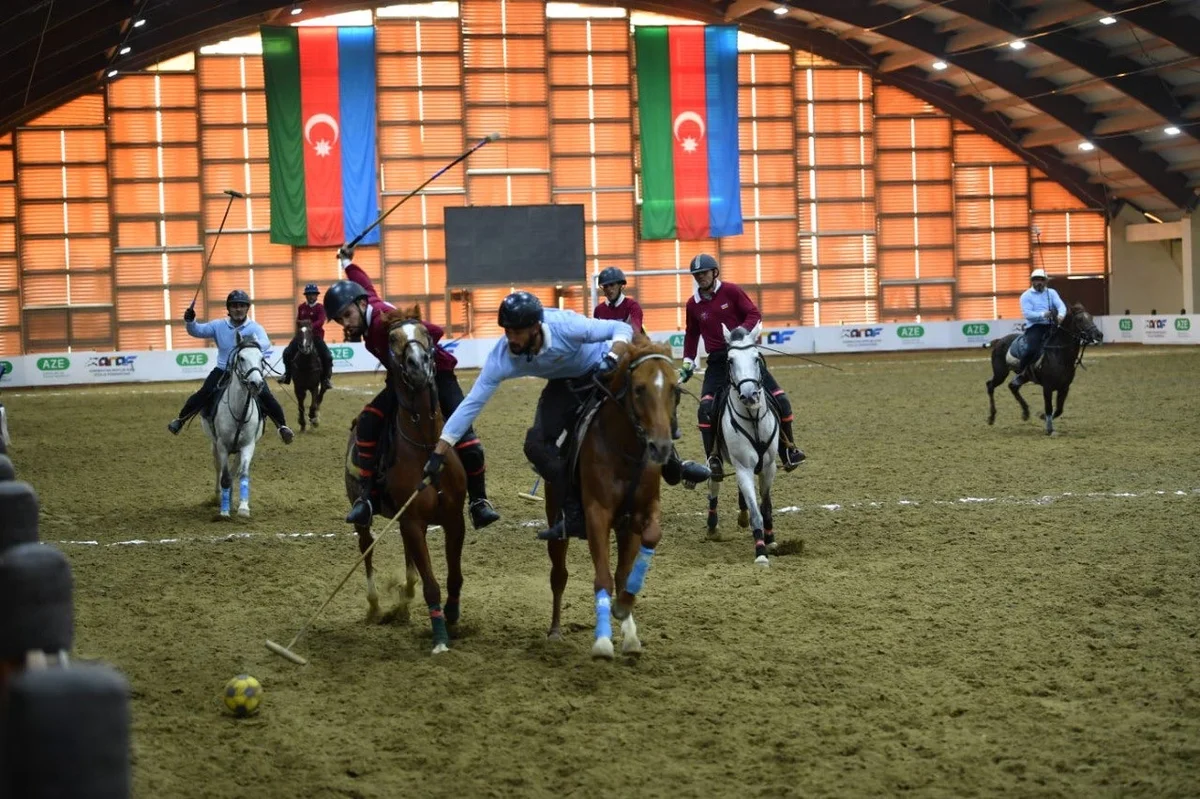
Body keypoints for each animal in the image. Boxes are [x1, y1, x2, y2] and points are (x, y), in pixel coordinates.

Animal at [200, 333, 266, 515]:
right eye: (241, 358)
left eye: (262, 358)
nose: (257, 384)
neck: (239, 412)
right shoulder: (222, 445)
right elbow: (224, 477)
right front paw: (224, 511)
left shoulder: (248, 445)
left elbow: (242, 474)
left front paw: (243, 507)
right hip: (214, 445)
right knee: (219, 469)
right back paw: (218, 497)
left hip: (237, 451)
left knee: (234, 471)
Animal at [343, 302, 468, 652]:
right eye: (392, 339)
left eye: (425, 332)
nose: (417, 365)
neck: (427, 444)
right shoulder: (412, 520)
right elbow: (432, 585)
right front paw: (440, 638)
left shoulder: (453, 518)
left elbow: (453, 576)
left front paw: (452, 615)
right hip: (365, 516)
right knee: (367, 548)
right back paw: (375, 607)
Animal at [547, 333, 681, 657]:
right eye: (639, 389)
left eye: (675, 388)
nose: (661, 447)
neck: (625, 450)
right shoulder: (597, 514)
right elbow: (603, 577)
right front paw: (603, 641)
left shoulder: (642, 512)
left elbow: (645, 546)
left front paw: (625, 613)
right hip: (556, 521)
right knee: (559, 575)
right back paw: (555, 631)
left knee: (621, 572)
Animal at [705, 321, 782, 563]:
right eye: (730, 360)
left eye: (756, 357)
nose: (749, 395)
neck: (753, 420)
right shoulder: (744, 467)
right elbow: (756, 512)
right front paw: (761, 552)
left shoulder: (768, 466)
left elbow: (765, 506)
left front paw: (771, 539)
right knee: (715, 483)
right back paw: (712, 527)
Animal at [988, 299, 1099, 436]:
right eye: (1079, 319)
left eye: (1091, 317)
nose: (1099, 335)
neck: (1058, 354)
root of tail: (999, 340)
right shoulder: (1047, 387)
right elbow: (1049, 407)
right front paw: (1050, 429)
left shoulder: (1065, 387)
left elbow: (1059, 409)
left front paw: (1042, 416)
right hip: (1000, 374)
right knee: (990, 386)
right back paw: (991, 417)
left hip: (1023, 377)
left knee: (1012, 386)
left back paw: (1025, 413)